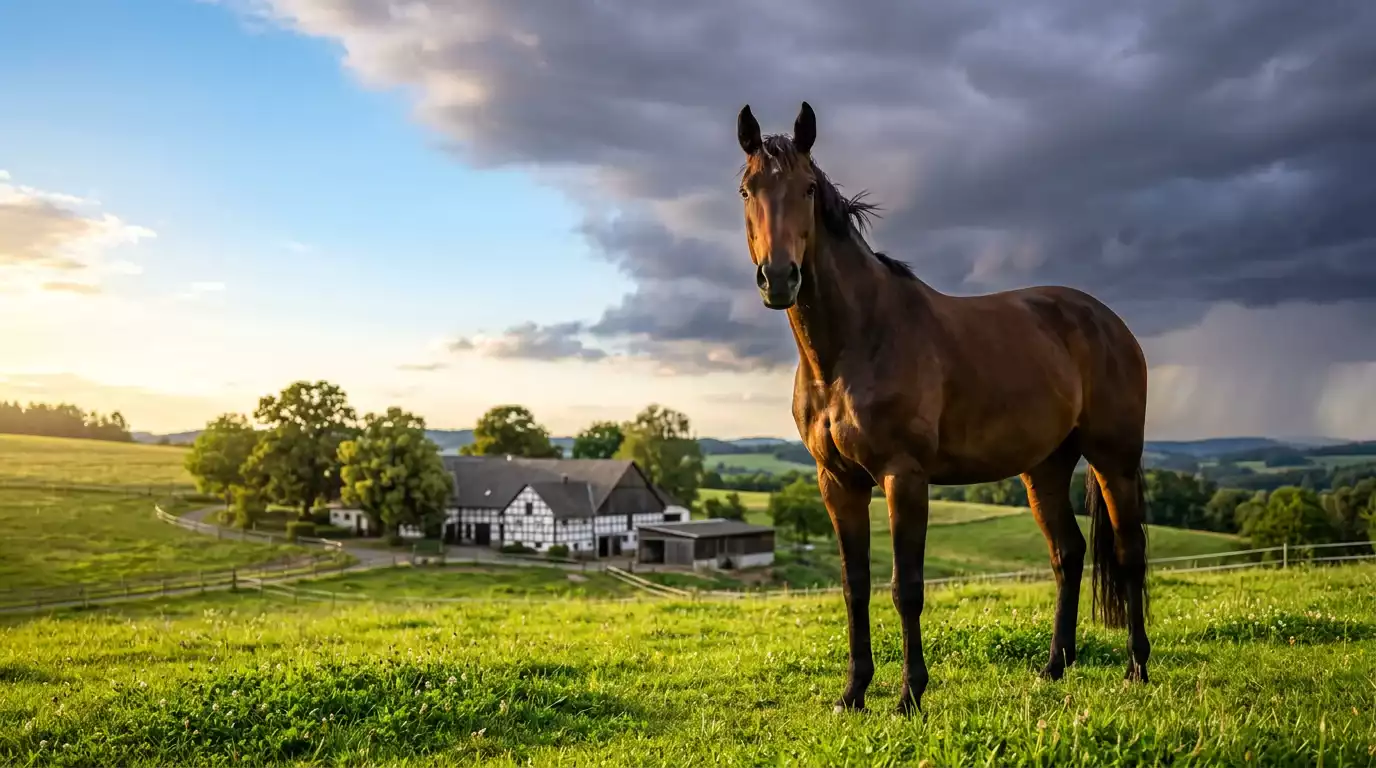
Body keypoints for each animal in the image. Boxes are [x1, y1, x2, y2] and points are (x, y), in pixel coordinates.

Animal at [735, 101, 1152, 715]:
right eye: (747, 189)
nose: (780, 278)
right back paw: (1054, 667)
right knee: (1067, 554)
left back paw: (1137, 668)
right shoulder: (837, 482)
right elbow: (854, 586)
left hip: (1113, 460)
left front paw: (909, 694)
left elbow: (905, 587)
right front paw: (853, 692)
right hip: (1044, 468)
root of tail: (1110, 322)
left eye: (807, 188)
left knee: (1129, 553)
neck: (855, 344)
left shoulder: (903, 477)